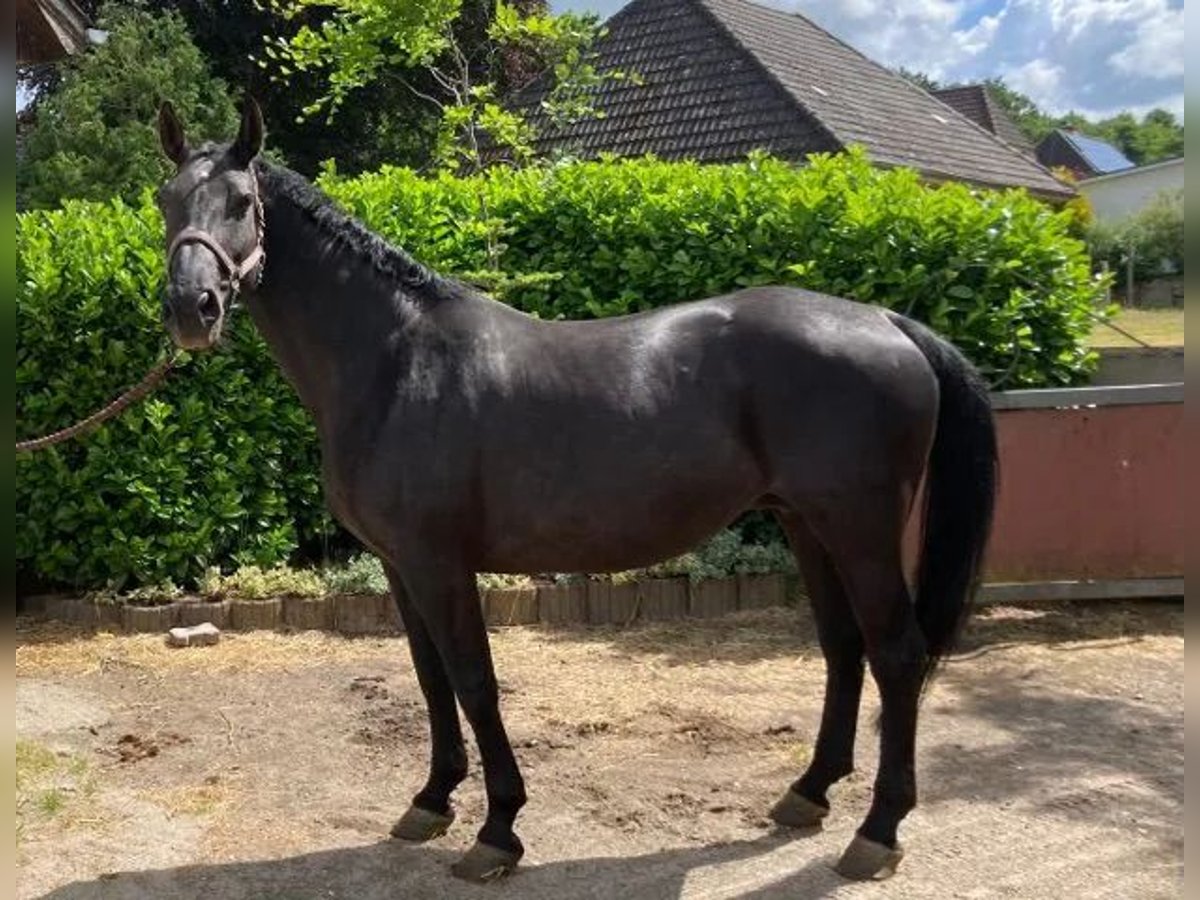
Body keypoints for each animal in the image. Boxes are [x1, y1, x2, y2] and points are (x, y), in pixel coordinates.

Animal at [154, 98, 998, 883]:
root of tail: (888, 322)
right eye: (165, 199)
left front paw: (497, 830)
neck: (396, 362)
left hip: (859, 530)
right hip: (807, 525)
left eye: (240, 201)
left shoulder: (439, 563)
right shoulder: (399, 565)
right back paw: (809, 793)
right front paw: (432, 800)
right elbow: (430, 680)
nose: (192, 310)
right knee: (843, 647)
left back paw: (877, 832)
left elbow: (474, 682)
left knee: (896, 654)